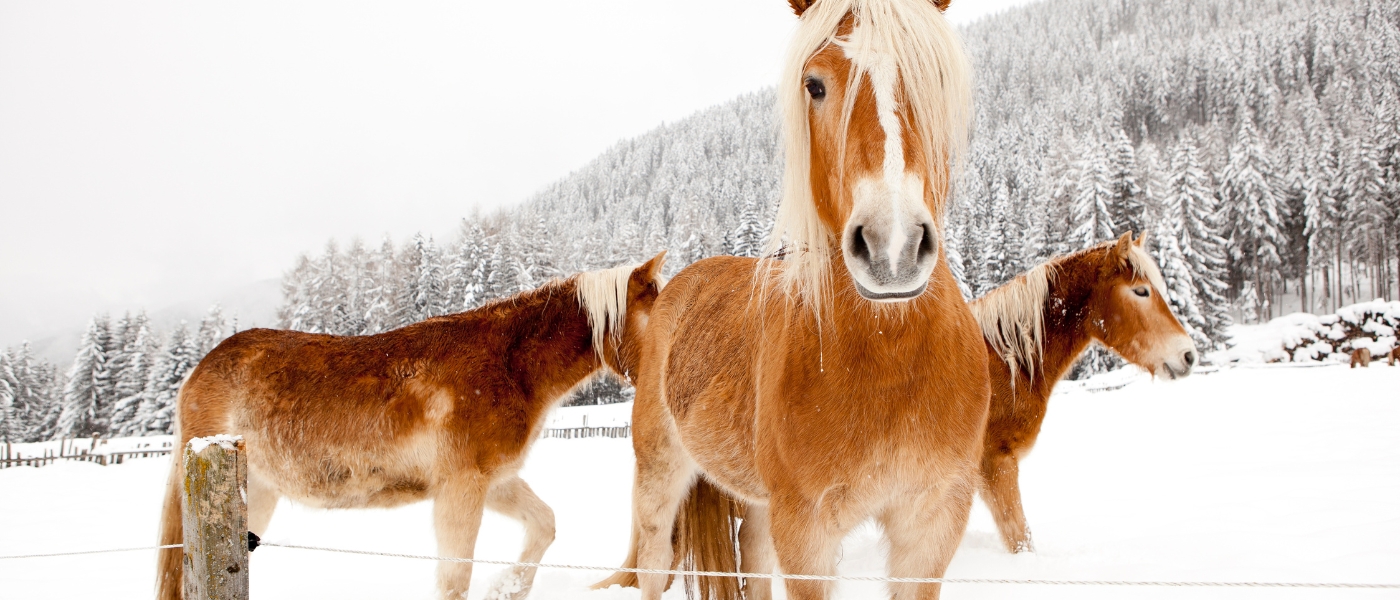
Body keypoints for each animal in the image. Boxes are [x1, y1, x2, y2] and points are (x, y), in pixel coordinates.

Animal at [156, 253, 667, 600]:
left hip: (258, 494)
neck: (507, 364)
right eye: (662, 314)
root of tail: (198, 373)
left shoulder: (491, 481)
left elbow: (544, 525)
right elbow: (454, 578)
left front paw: (506, 588)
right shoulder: (462, 488)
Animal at [597, 1, 984, 599]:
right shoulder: (807, 536)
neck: (890, 359)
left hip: (758, 506)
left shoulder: (932, 527)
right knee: (654, 562)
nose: (892, 247)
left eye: (933, 76)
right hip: (661, 475)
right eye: (815, 85)